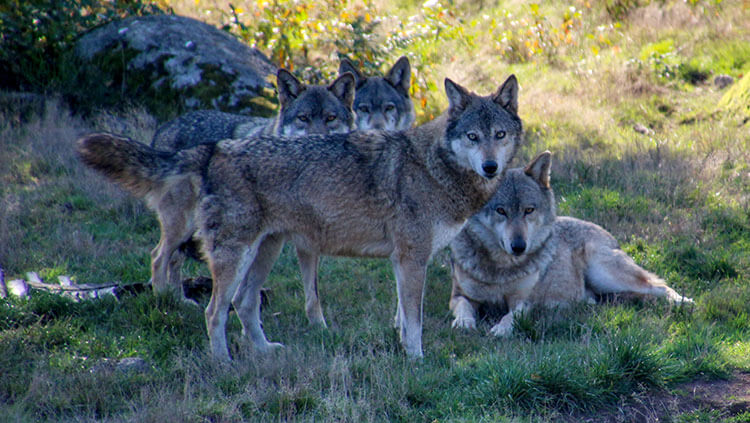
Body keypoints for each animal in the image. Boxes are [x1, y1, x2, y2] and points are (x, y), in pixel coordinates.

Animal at [450, 152, 696, 338]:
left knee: (660, 285)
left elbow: (511, 315)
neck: (501, 269)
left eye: (529, 210)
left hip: (608, 274)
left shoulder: (525, 301)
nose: (519, 246)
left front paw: (501, 329)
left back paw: (683, 302)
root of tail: (604, 231)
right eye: (501, 211)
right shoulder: (459, 295)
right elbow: (463, 307)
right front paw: (463, 323)